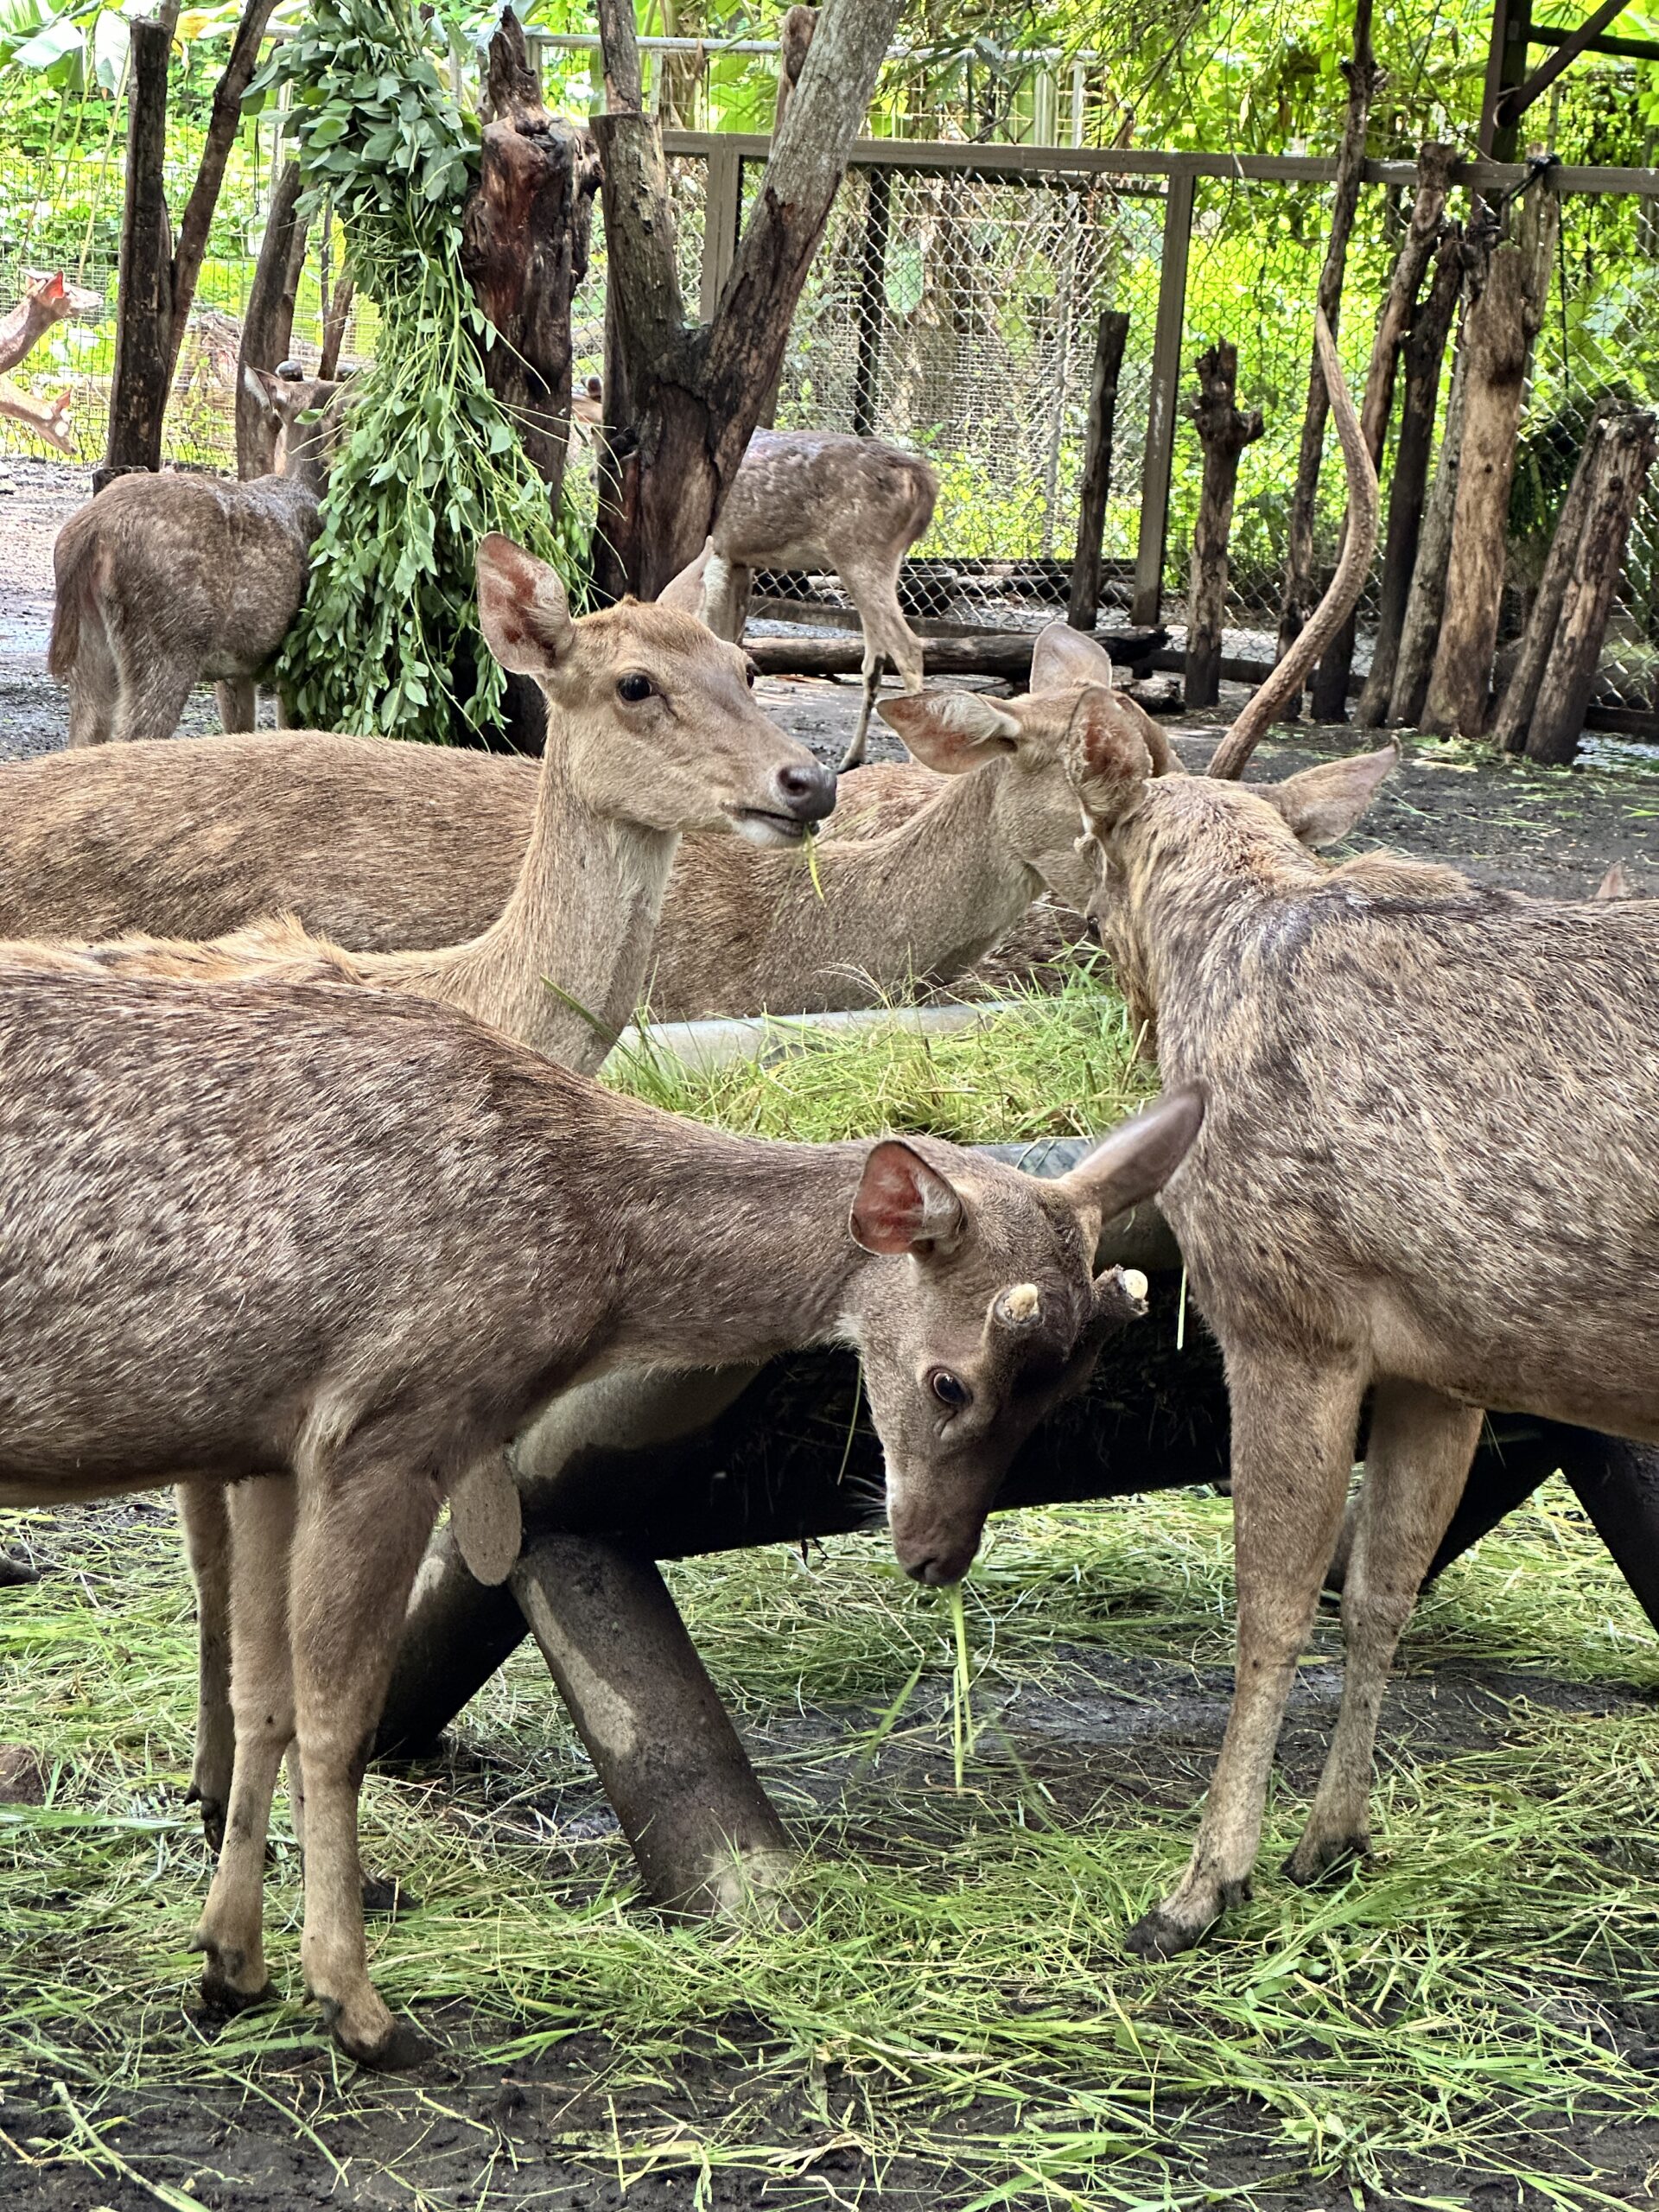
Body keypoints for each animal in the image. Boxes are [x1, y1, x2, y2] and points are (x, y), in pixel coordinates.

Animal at [0, 958, 1200, 2064]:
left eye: (1071, 1388)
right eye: (952, 1383)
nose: (937, 1554)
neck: (588, 1251)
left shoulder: (268, 1447)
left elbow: (263, 1698)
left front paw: (230, 1966)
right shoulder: (385, 1421)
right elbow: (337, 1718)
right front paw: (356, 2005)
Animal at [47, 368, 342, 745]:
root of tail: (87, 532)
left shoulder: (238, 668)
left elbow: (239, 729)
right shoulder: (298, 659)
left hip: (89, 649)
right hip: (169, 641)